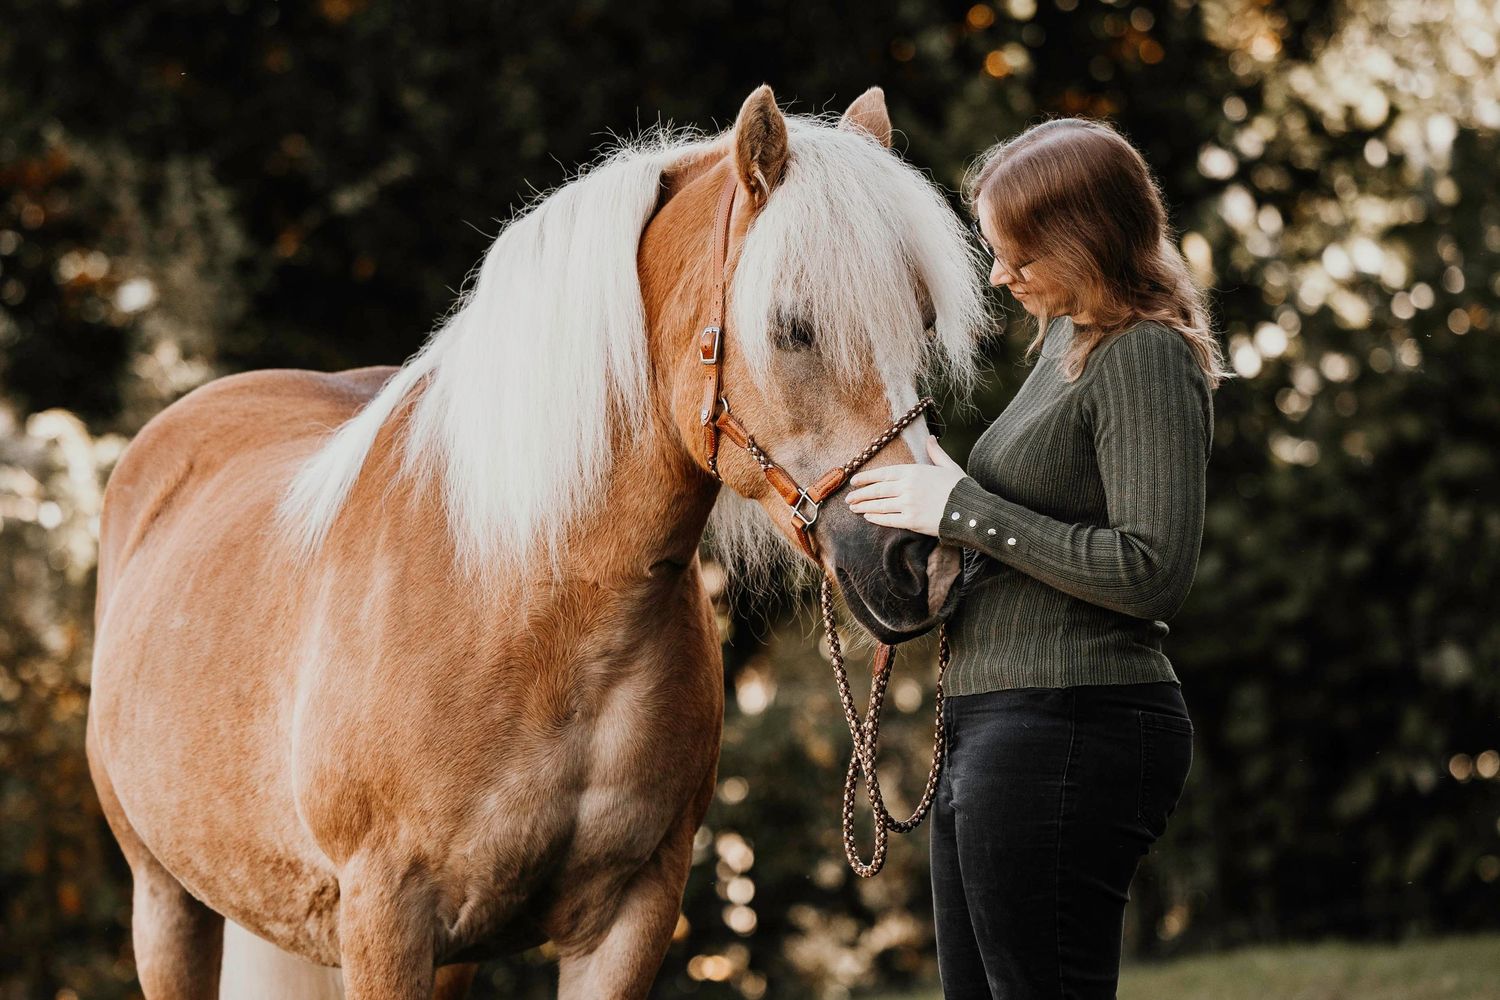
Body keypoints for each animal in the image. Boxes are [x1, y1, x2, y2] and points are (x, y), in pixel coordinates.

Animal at [85, 84, 987, 998]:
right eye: (793, 327)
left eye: (920, 322)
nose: (925, 559)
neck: (534, 614)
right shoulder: (382, 918)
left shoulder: (633, 914)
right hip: (168, 903)